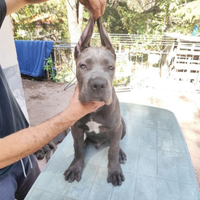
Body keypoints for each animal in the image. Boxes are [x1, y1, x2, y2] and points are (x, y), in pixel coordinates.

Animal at [64, 16, 126, 186]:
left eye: (110, 67)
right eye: (83, 65)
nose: (98, 84)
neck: (94, 109)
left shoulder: (115, 128)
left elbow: (113, 150)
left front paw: (115, 170)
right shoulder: (76, 127)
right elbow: (77, 148)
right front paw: (75, 167)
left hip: (122, 125)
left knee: (115, 144)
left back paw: (120, 153)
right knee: (85, 141)